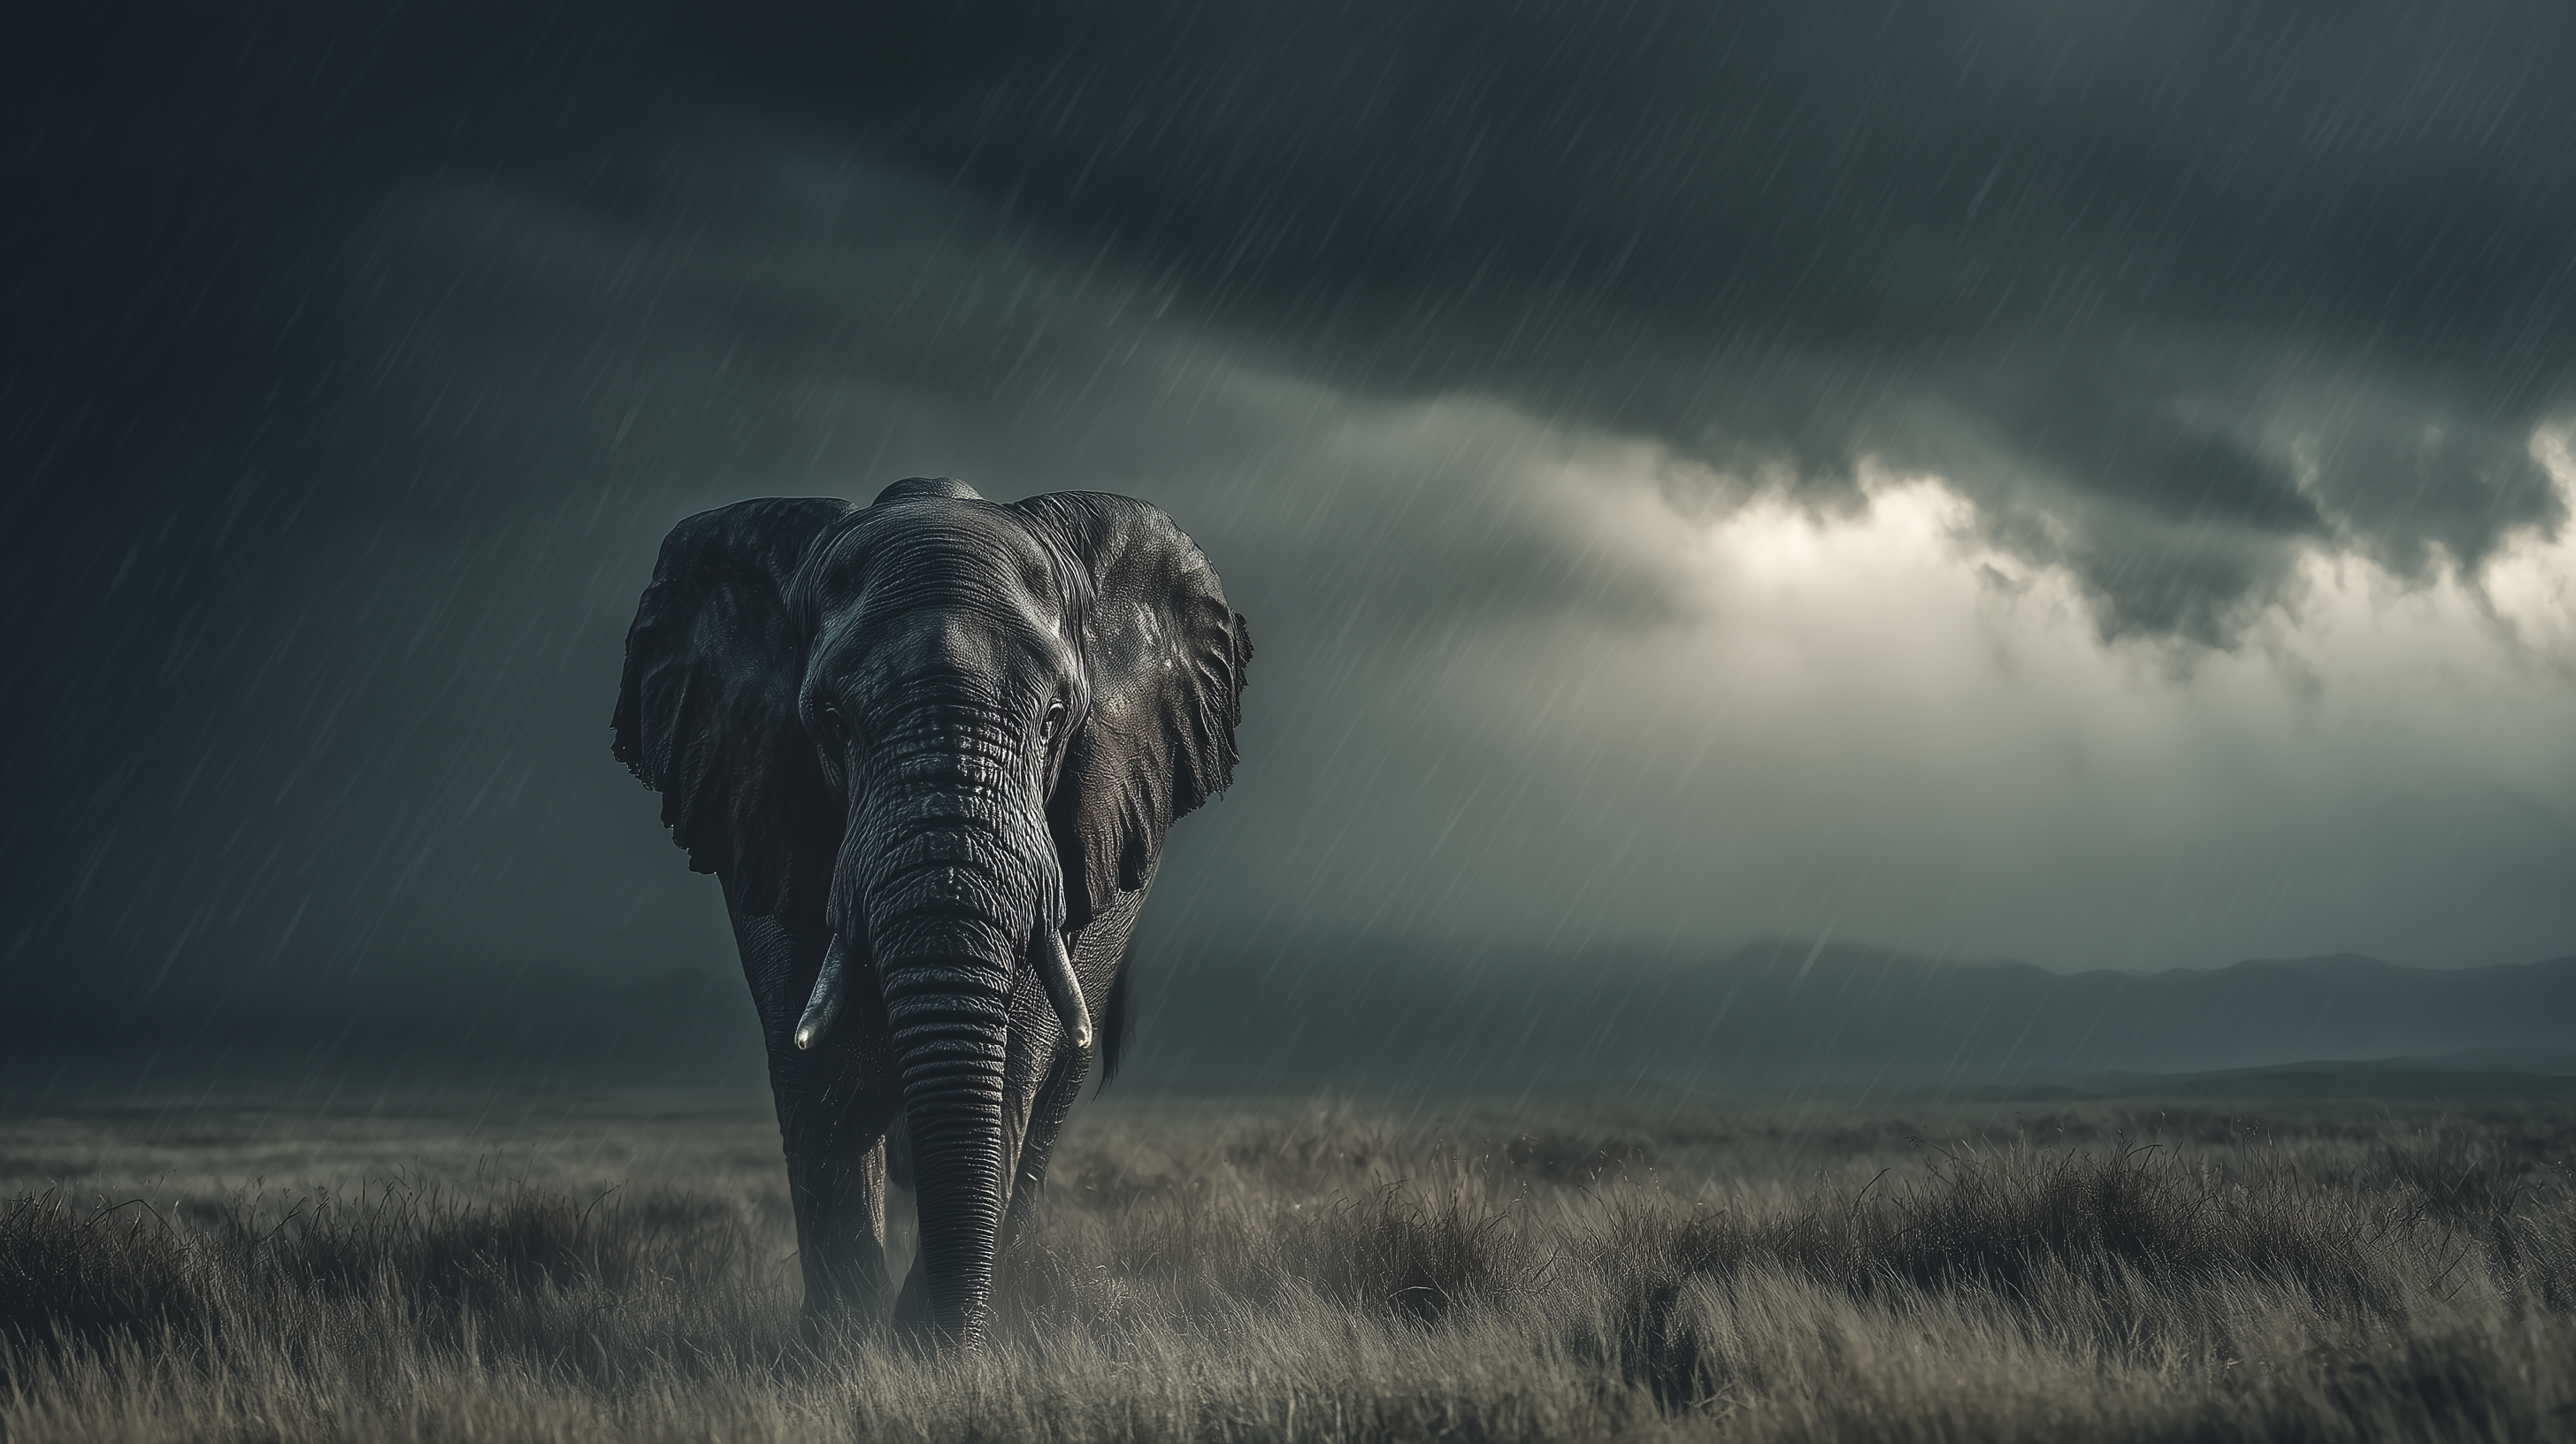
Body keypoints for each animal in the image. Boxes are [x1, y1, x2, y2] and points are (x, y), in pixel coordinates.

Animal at [611, 476, 1249, 1349]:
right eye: (833, 724)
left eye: (1055, 722)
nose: (945, 1339)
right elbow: (815, 1068)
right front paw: (842, 1347)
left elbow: (1014, 1058)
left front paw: (927, 1348)